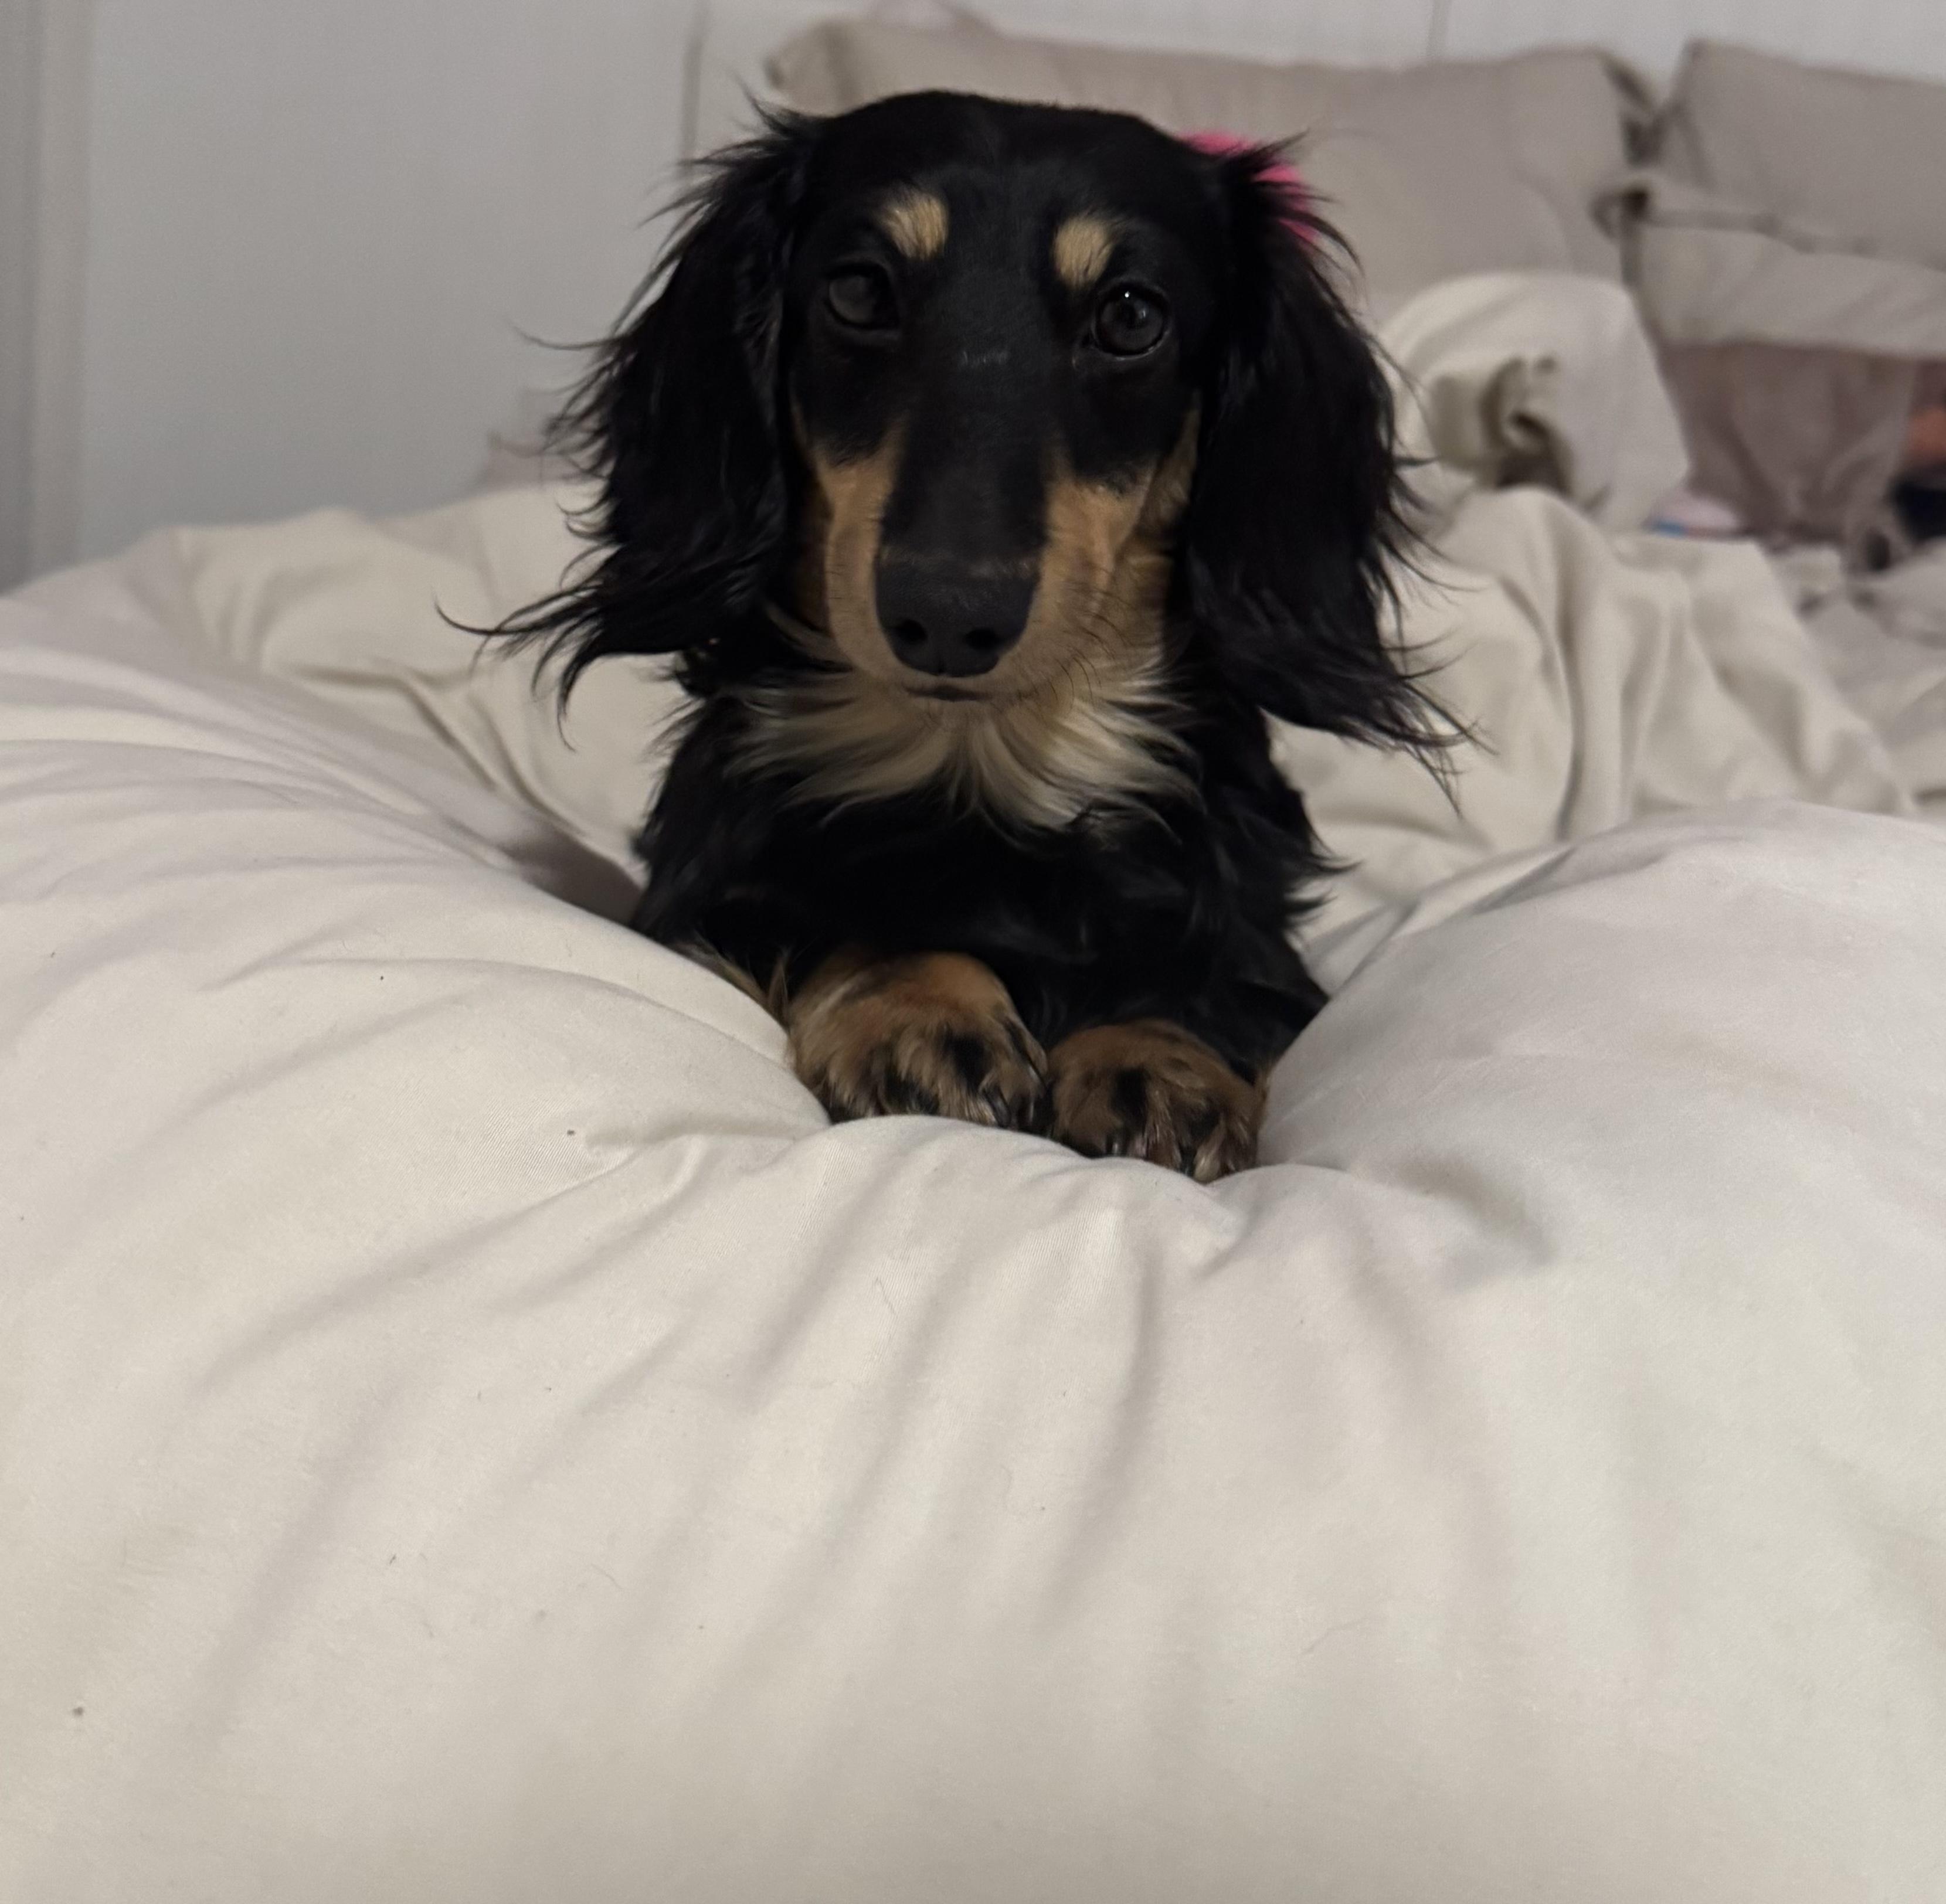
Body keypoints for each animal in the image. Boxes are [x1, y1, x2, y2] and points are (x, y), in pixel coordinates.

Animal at [497, 91, 1439, 1182]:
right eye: (858, 290)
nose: (947, 614)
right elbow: (857, 925)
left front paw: (1159, 1051)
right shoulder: (701, 911)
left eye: (1131, 315)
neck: (980, 765)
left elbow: (1205, 978)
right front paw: (916, 1005)